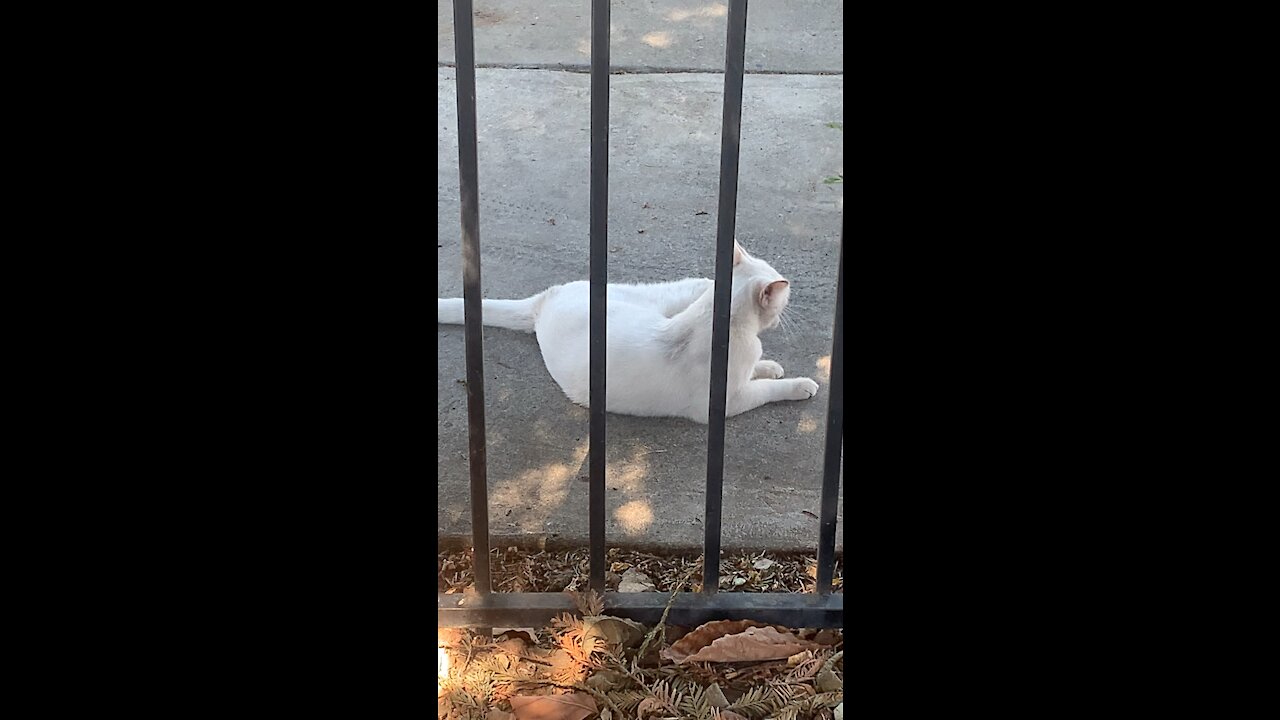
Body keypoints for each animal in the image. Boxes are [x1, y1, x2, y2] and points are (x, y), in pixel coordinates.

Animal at [440, 240, 819, 420]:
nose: (791, 295)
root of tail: (545, 301)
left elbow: (760, 369)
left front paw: (769, 365)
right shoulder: (727, 402)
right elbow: (769, 389)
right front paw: (800, 384)